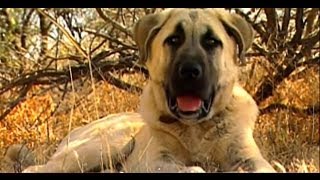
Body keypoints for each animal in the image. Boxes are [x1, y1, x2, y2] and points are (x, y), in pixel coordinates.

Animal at [11, 8, 274, 173]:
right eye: (174, 40)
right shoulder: (155, 161)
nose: (190, 71)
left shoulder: (250, 158)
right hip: (102, 146)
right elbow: (194, 169)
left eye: (211, 42)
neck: (195, 130)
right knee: (35, 169)